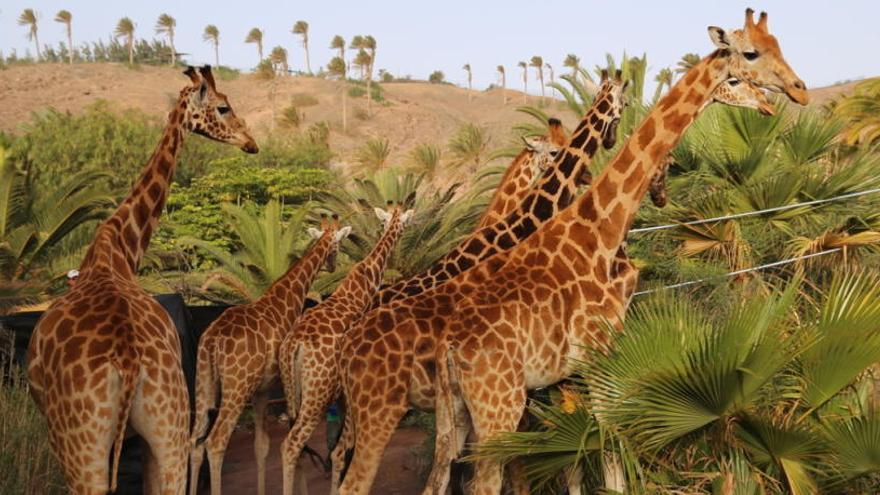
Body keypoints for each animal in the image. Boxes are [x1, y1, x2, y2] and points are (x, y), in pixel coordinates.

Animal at [24, 67, 258, 495]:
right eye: (223, 107)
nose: (251, 143)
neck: (117, 251)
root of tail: (130, 361)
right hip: (169, 426)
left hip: (80, 446)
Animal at [189, 214, 350, 495]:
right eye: (338, 245)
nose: (332, 266)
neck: (286, 299)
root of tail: (212, 340)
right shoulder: (284, 386)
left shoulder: (262, 392)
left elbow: (261, 447)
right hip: (236, 389)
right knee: (215, 442)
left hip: (204, 384)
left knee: (194, 441)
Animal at [278, 202, 416, 495]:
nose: (330, 266)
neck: (362, 285)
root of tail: (294, 345)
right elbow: (345, 450)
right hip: (317, 395)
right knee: (291, 444)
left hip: (292, 389)